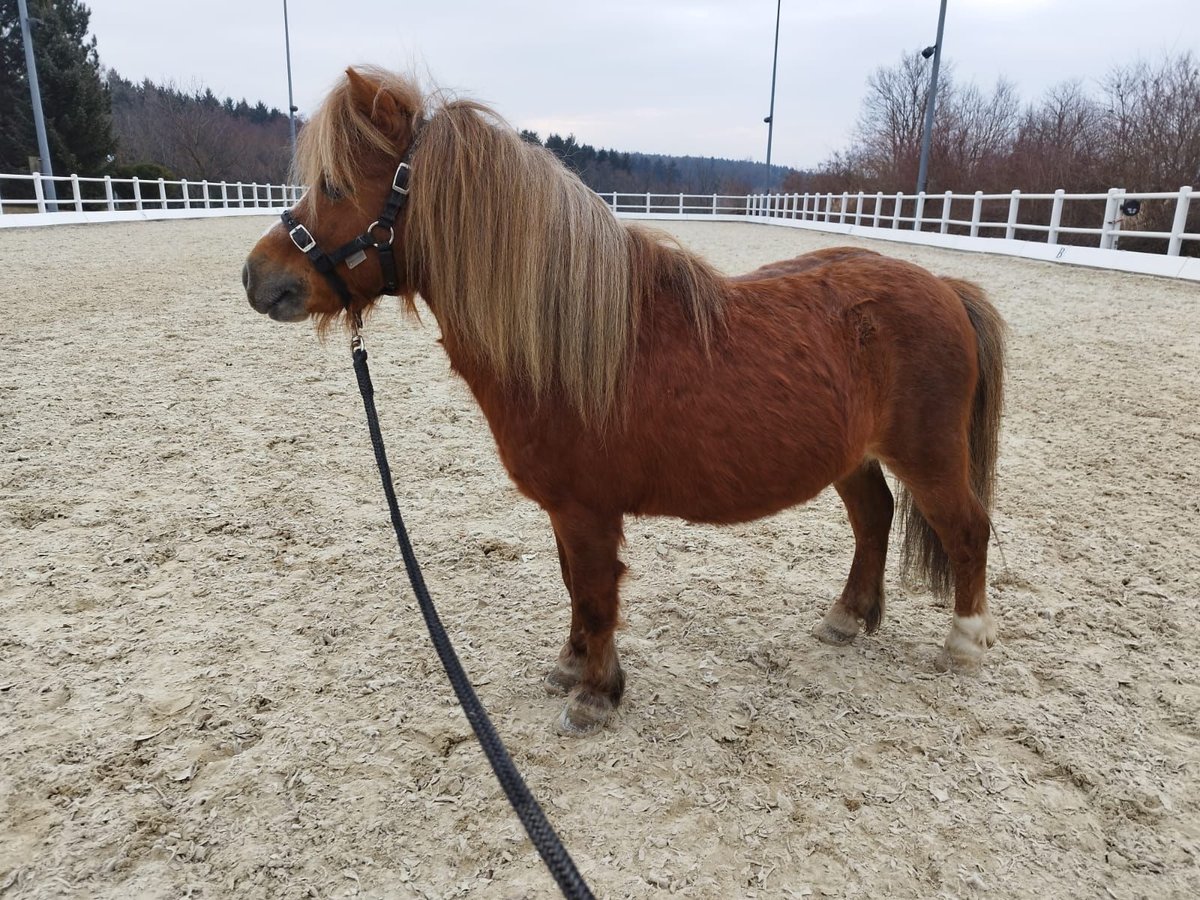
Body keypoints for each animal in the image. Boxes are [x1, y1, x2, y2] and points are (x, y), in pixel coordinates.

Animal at [241, 68, 1003, 734]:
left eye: (335, 184)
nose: (256, 277)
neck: (562, 342)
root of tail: (943, 286)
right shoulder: (562, 508)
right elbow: (573, 586)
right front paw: (570, 666)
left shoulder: (588, 509)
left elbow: (596, 592)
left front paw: (597, 695)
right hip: (853, 456)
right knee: (874, 518)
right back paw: (848, 618)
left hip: (929, 456)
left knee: (968, 529)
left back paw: (964, 647)